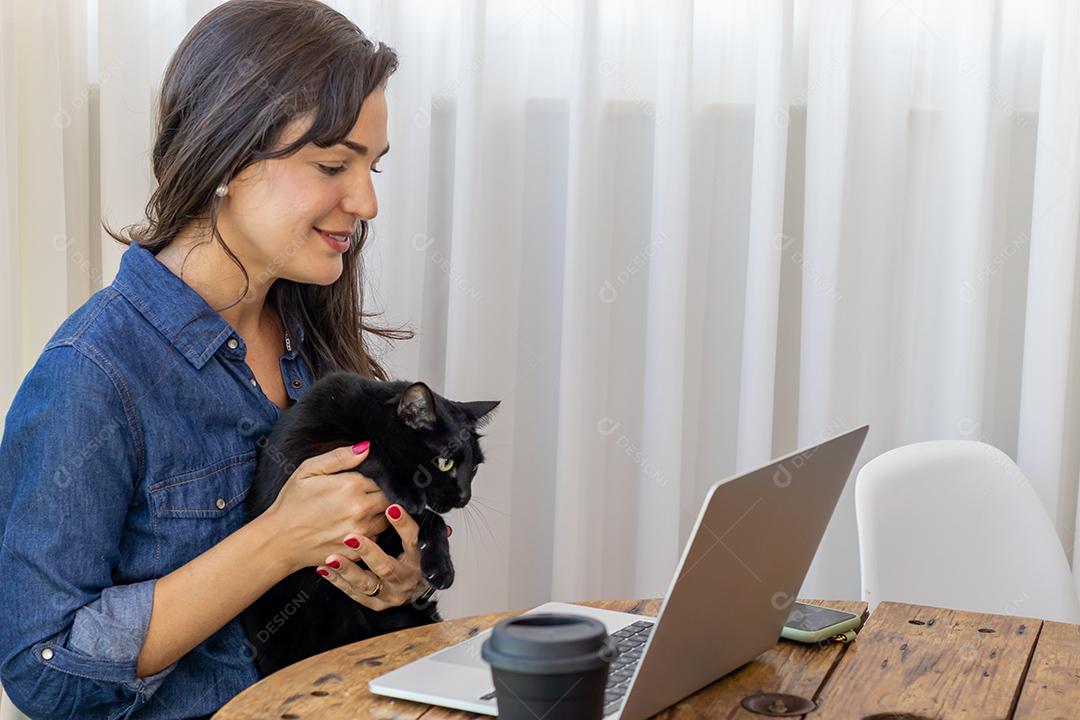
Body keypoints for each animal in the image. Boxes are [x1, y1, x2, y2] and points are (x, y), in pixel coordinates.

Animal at [240, 371, 496, 677]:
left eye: (475, 467)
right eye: (446, 463)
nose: (464, 497)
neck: (364, 413)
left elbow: (431, 518)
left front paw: (440, 565)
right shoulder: (303, 452)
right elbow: (368, 450)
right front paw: (405, 490)